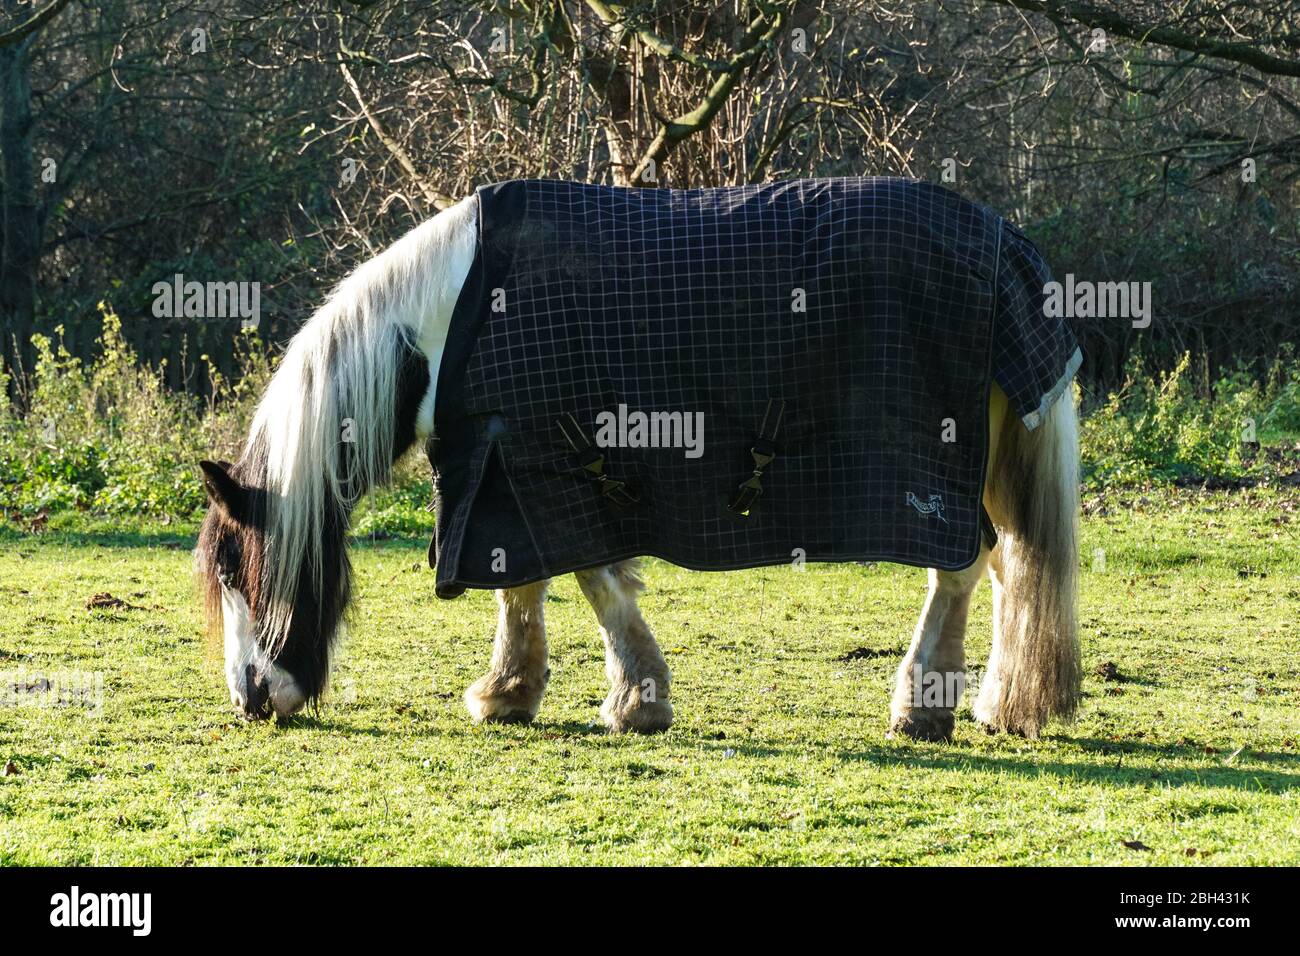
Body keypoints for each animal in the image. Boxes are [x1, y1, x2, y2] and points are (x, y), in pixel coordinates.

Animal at [196, 178, 1081, 742]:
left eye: (237, 570)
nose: (250, 699)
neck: (455, 320)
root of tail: (1007, 244)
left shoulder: (559, 464)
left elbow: (593, 581)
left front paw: (634, 699)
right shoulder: (513, 468)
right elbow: (521, 586)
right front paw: (509, 693)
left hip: (939, 470)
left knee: (962, 567)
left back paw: (921, 706)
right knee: (1011, 567)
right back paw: (1003, 705)